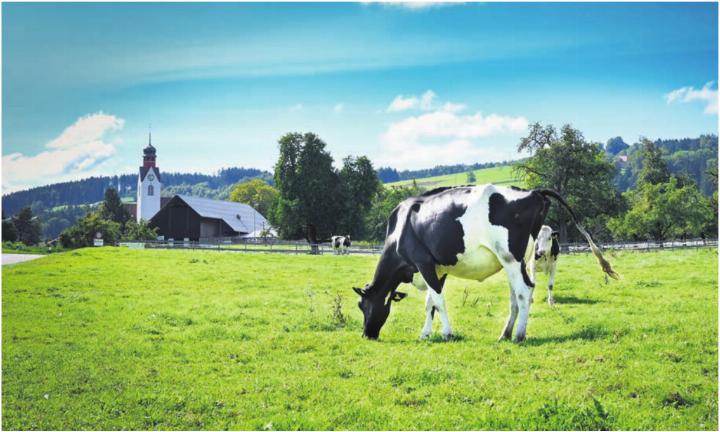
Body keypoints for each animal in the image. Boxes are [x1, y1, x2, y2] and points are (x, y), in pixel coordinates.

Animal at [352, 184, 618, 342]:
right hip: (517, 261)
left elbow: (438, 301)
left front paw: (447, 333)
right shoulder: (439, 268)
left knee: (525, 291)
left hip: (510, 257)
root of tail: (532, 191)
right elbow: (430, 303)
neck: (400, 230)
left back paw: (519, 335)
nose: (367, 335)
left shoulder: (424, 262)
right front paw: (425, 333)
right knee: (516, 296)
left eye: (362, 305)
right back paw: (505, 333)